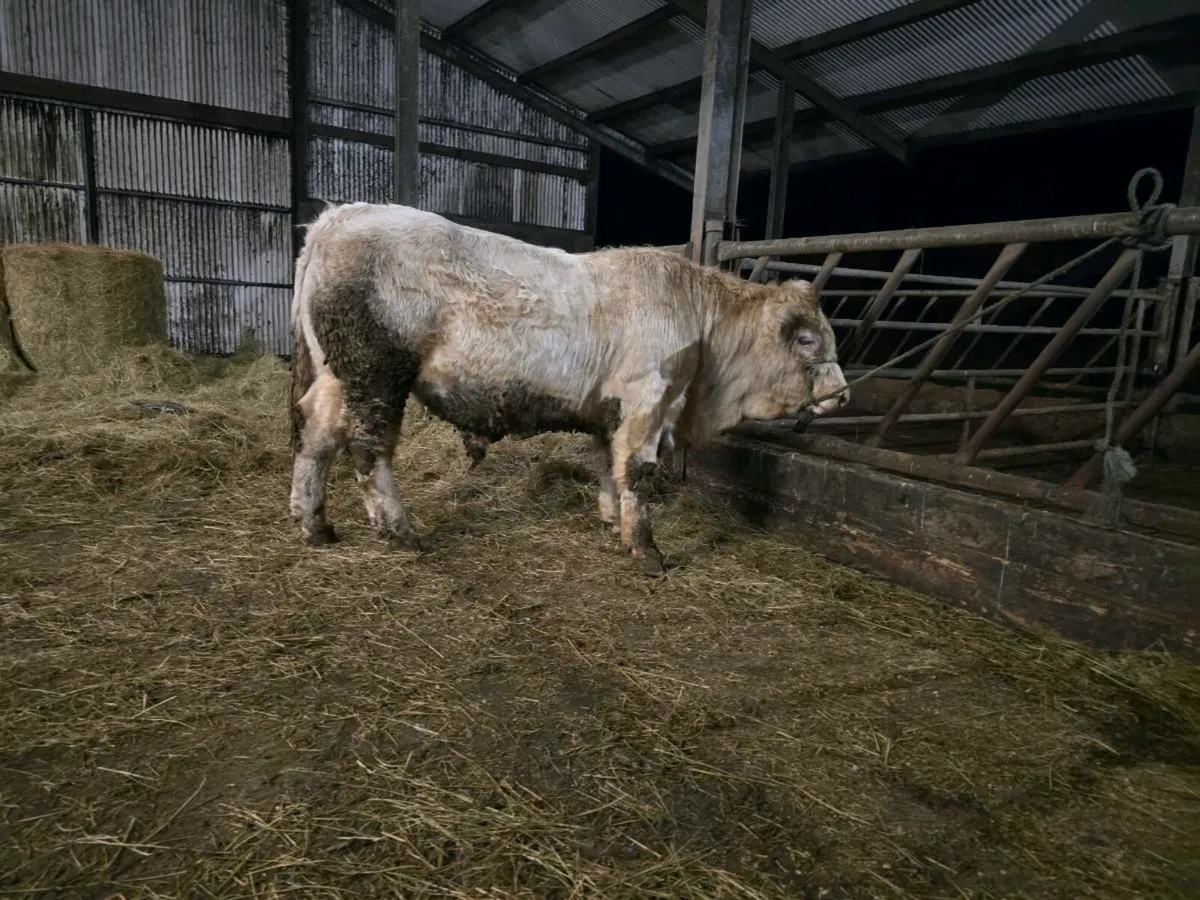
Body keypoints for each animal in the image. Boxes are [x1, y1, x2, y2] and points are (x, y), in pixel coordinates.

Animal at [288, 203, 849, 575]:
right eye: (806, 339)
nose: (842, 394)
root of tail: (340, 216)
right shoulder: (647, 400)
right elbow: (638, 471)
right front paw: (646, 550)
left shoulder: (610, 410)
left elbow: (609, 465)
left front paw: (610, 520)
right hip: (375, 373)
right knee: (368, 448)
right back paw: (400, 532)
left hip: (336, 375)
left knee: (316, 434)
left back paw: (314, 524)